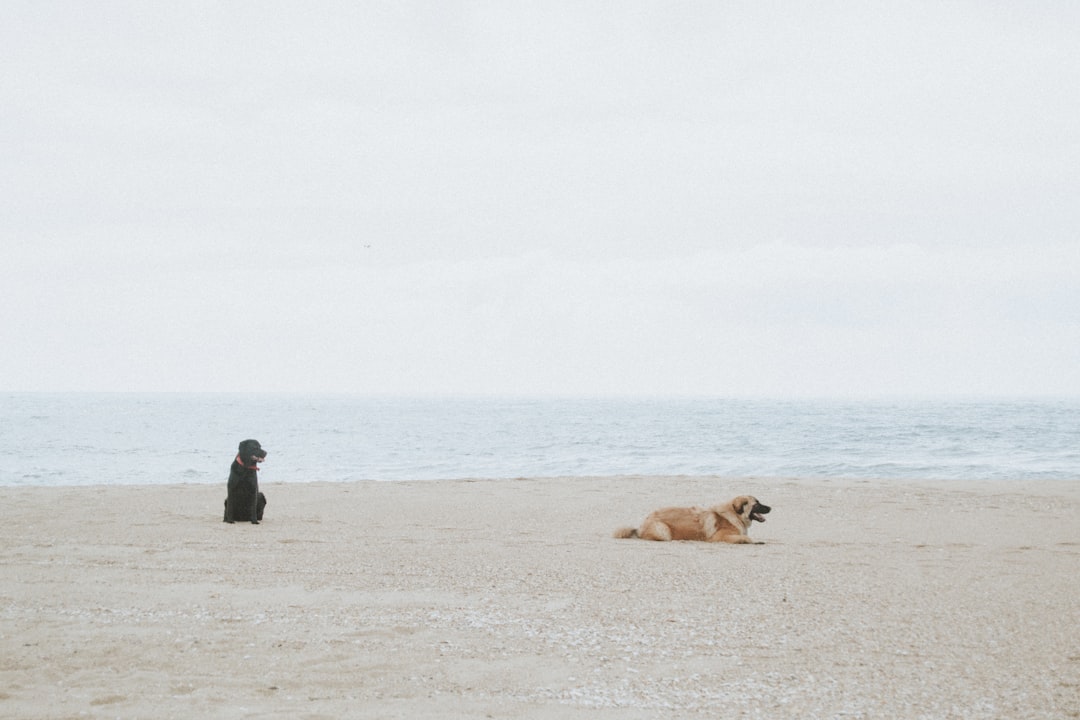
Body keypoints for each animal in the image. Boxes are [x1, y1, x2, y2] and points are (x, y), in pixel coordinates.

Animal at [613, 496, 773, 546]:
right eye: (757, 504)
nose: (771, 507)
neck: (735, 514)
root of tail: (641, 525)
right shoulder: (719, 537)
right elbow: (744, 537)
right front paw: (753, 541)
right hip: (663, 530)